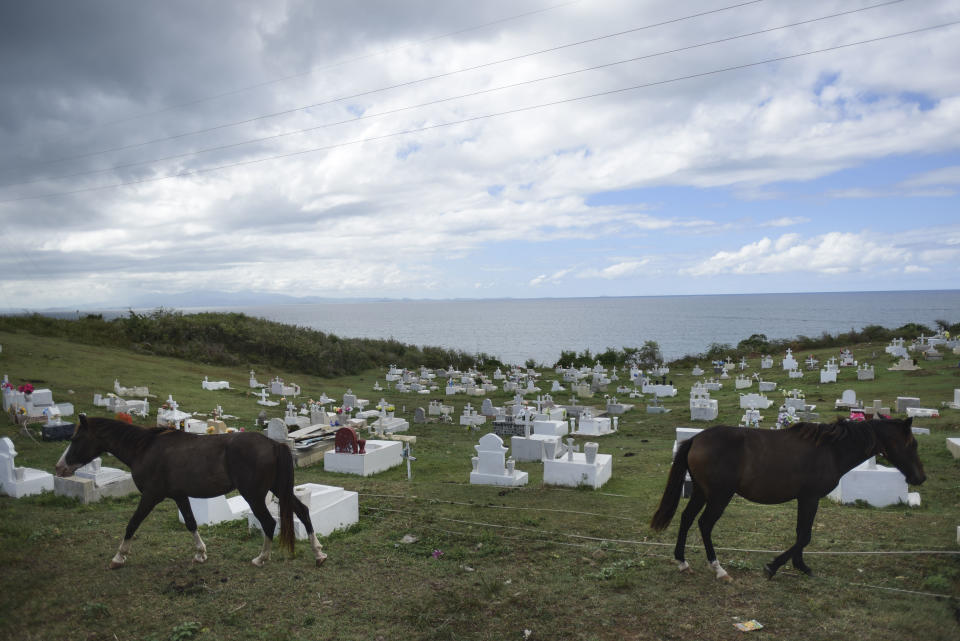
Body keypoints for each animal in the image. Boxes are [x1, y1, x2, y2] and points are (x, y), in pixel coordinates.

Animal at [56, 416, 326, 568]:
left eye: (75, 438)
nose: (60, 468)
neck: (145, 448)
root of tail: (273, 443)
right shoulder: (179, 496)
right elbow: (191, 523)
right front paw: (200, 554)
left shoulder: (151, 496)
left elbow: (132, 524)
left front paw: (119, 557)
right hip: (278, 489)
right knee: (302, 511)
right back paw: (318, 553)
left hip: (254, 495)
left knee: (269, 522)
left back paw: (261, 558)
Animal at [648, 418, 928, 584]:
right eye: (912, 444)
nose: (920, 477)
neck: (830, 450)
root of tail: (696, 438)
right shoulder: (811, 498)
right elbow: (804, 536)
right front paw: (774, 566)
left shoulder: (804, 499)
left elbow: (800, 533)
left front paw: (799, 565)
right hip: (718, 496)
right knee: (705, 525)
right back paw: (718, 569)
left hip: (700, 492)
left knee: (686, 519)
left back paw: (683, 562)